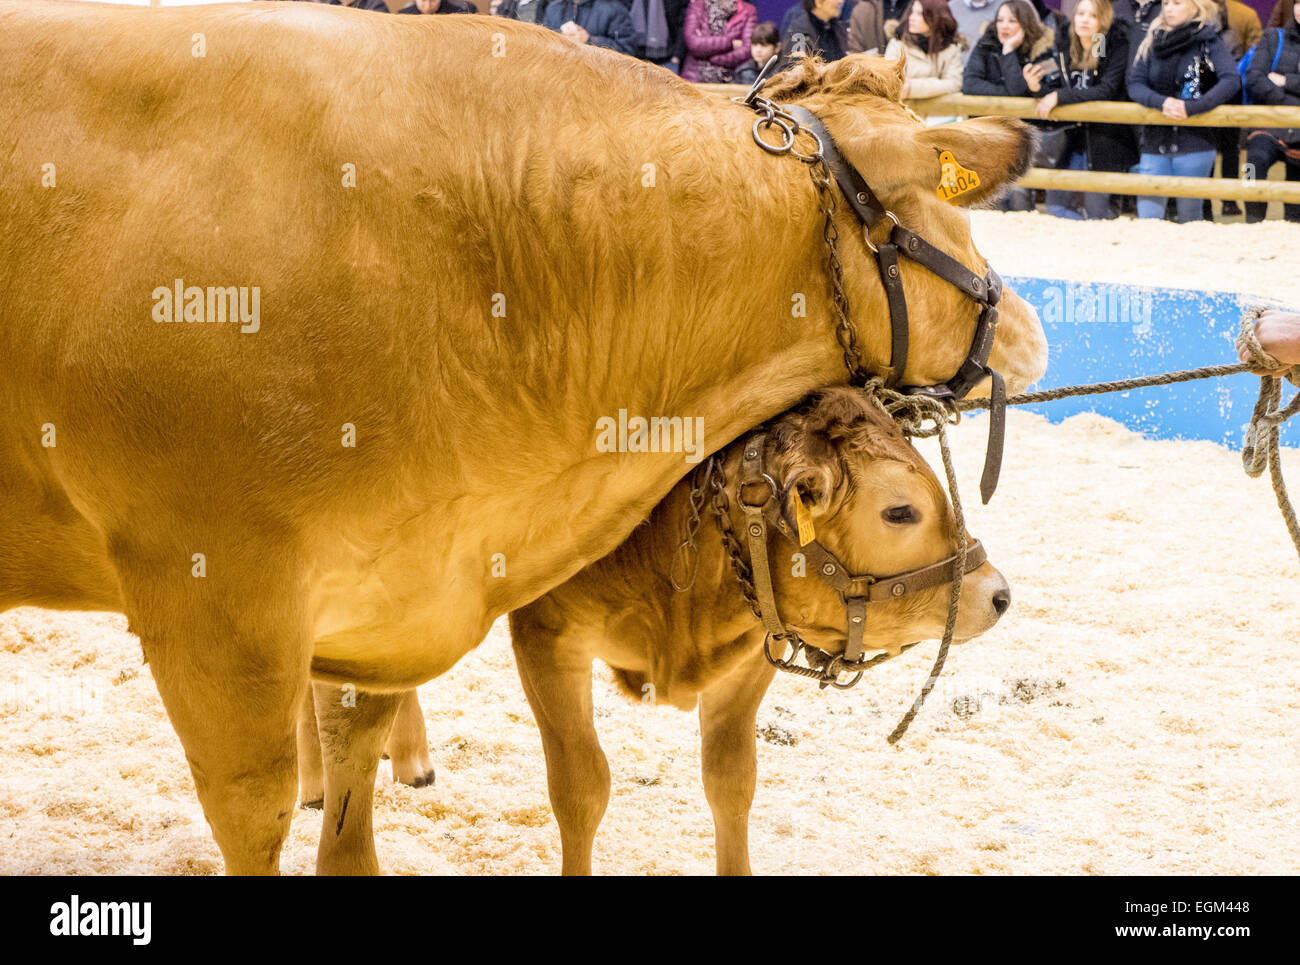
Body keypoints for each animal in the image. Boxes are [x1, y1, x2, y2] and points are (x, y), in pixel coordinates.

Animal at [0, 1, 1045, 879]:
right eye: (945, 204)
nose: (1032, 329)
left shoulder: (382, 590)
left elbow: (354, 793)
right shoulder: (219, 600)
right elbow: (259, 811)